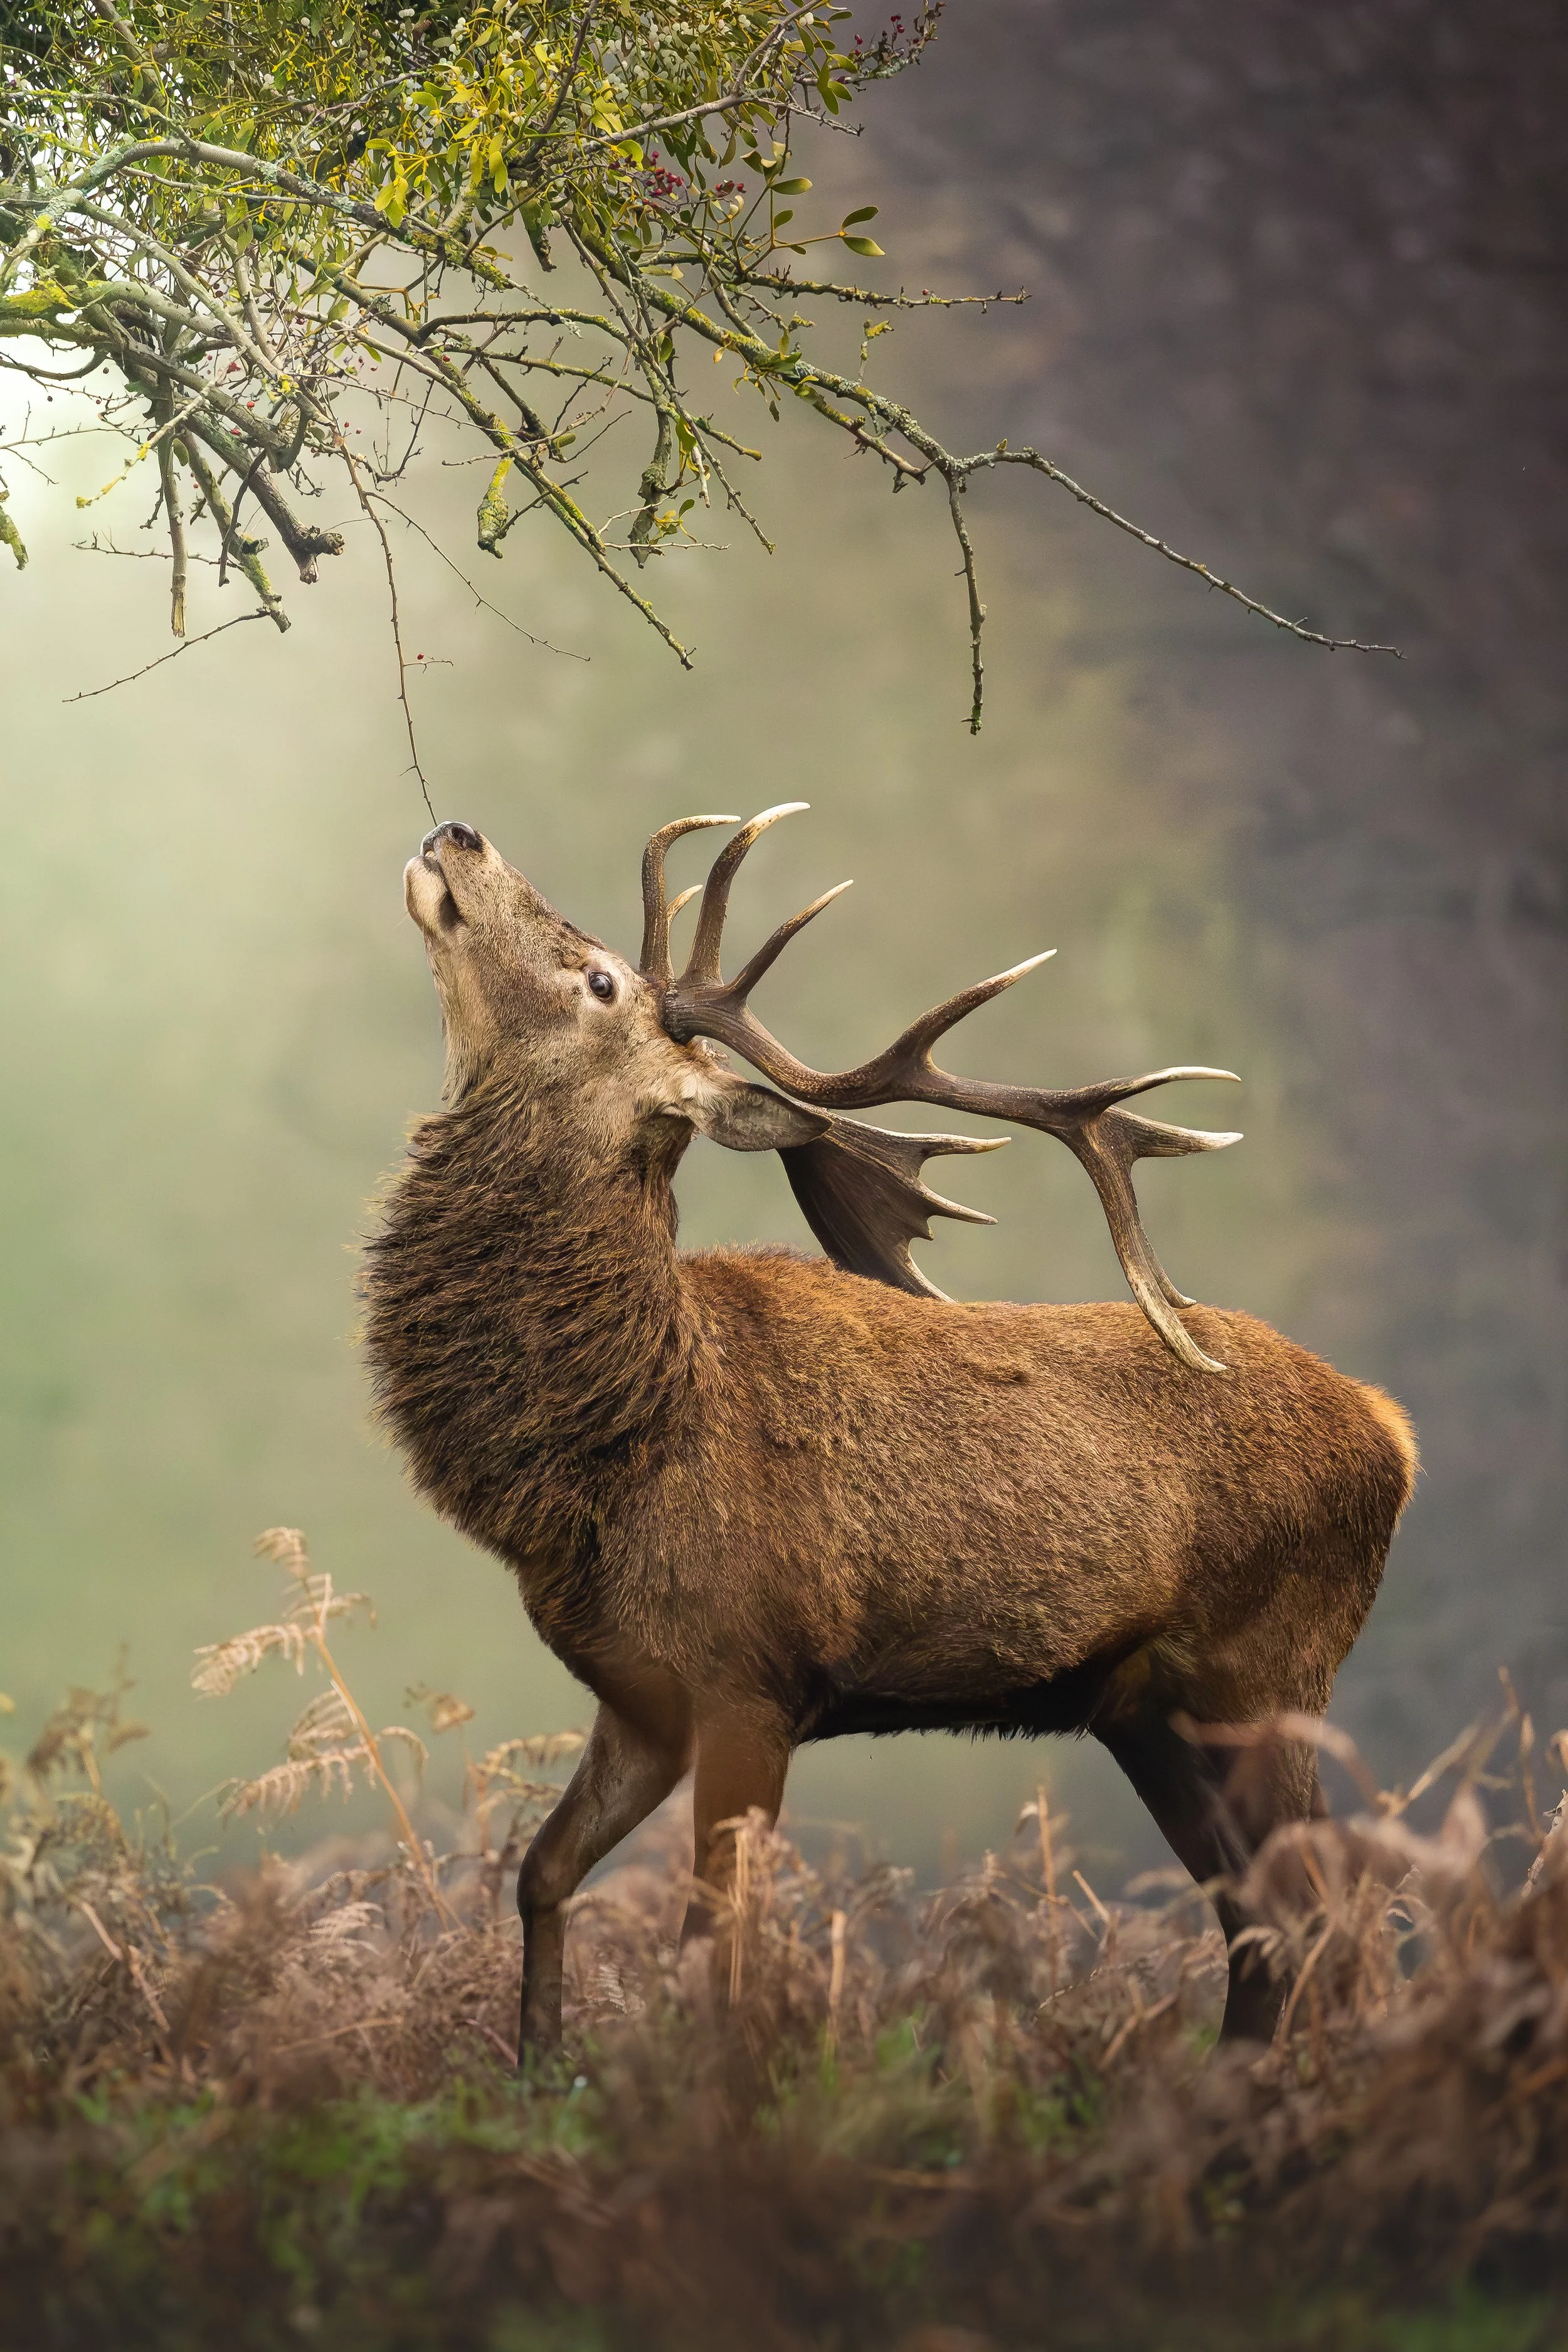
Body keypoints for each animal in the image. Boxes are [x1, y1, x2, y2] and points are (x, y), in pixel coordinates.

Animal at [365, 807, 1417, 2055]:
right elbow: (540, 1873)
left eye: (601, 978)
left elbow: (716, 1941)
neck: (626, 1440)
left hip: (1272, 1669)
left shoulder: (751, 1680)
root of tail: (1392, 1429)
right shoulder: (640, 1697)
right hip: (1149, 1711)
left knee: (1333, 1908)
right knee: (1261, 1923)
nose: (458, 830)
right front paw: (540, 2065)